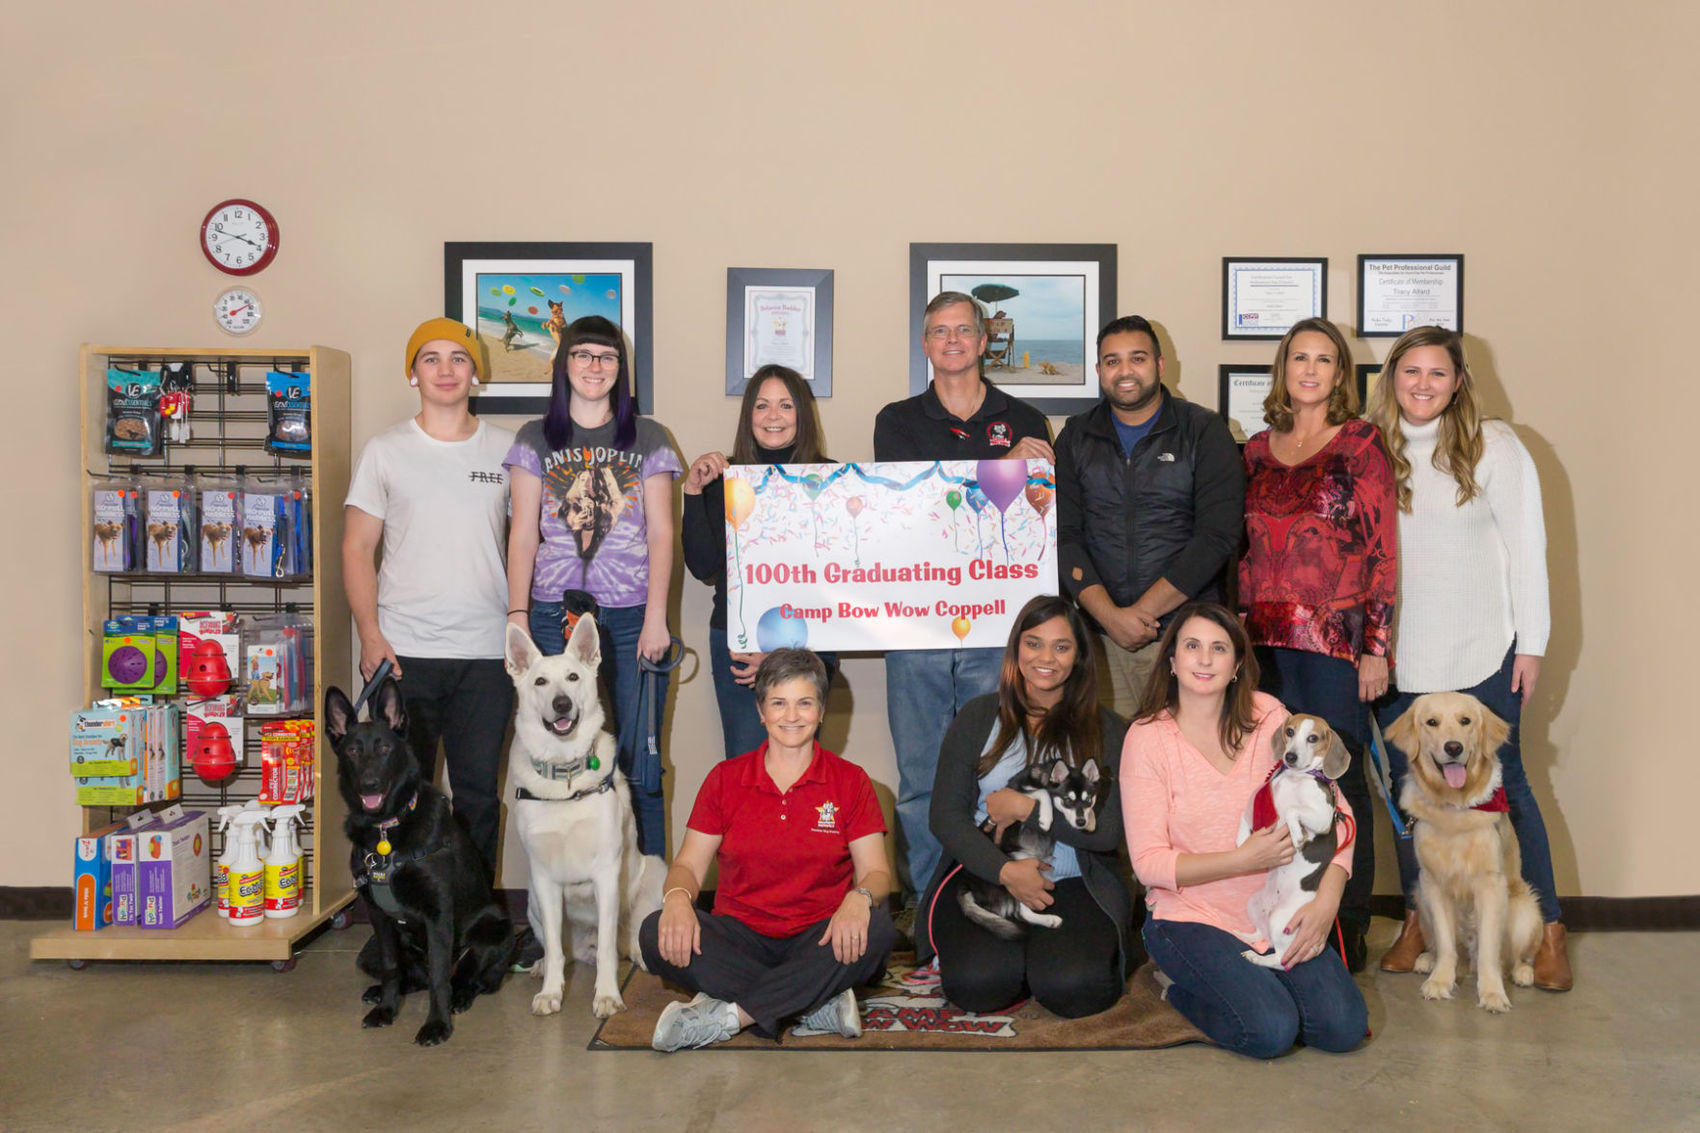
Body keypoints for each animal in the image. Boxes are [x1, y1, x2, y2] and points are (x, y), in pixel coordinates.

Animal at [324, 673, 510, 1047]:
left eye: (384, 749)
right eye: (352, 750)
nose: (369, 785)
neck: (386, 830)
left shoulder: (437, 917)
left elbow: (440, 978)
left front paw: (437, 1025)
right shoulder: (379, 919)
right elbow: (392, 968)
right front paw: (386, 1010)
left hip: (494, 929)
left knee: (473, 978)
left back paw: (461, 997)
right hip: (376, 950)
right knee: (413, 976)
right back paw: (380, 992)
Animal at [503, 612, 663, 1020]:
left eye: (573, 677)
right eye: (540, 682)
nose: (561, 704)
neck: (566, 777)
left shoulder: (606, 873)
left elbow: (607, 949)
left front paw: (607, 996)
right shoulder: (544, 879)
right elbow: (555, 948)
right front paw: (551, 992)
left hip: (655, 874)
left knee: (631, 938)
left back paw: (641, 956)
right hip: (532, 900)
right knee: (561, 950)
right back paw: (543, 965)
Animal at [958, 758, 1101, 932]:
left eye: (1088, 800)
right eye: (1067, 800)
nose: (1081, 822)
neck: (1045, 776)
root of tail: (968, 883)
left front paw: (1091, 821)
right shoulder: (1018, 792)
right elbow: (1043, 792)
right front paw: (1046, 818)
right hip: (1017, 865)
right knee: (1021, 913)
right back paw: (1048, 919)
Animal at [1387, 687, 1550, 1013]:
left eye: (1466, 721)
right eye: (1432, 722)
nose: (1453, 747)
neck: (1454, 806)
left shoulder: (1490, 884)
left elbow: (1489, 950)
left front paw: (1492, 993)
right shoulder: (1432, 883)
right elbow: (1446, 943)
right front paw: (1440, 980)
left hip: (1525, 909)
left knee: (1515, 956)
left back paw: (1524, 972)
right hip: (1420, 898)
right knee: (1444, 946)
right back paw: (1428, 959)